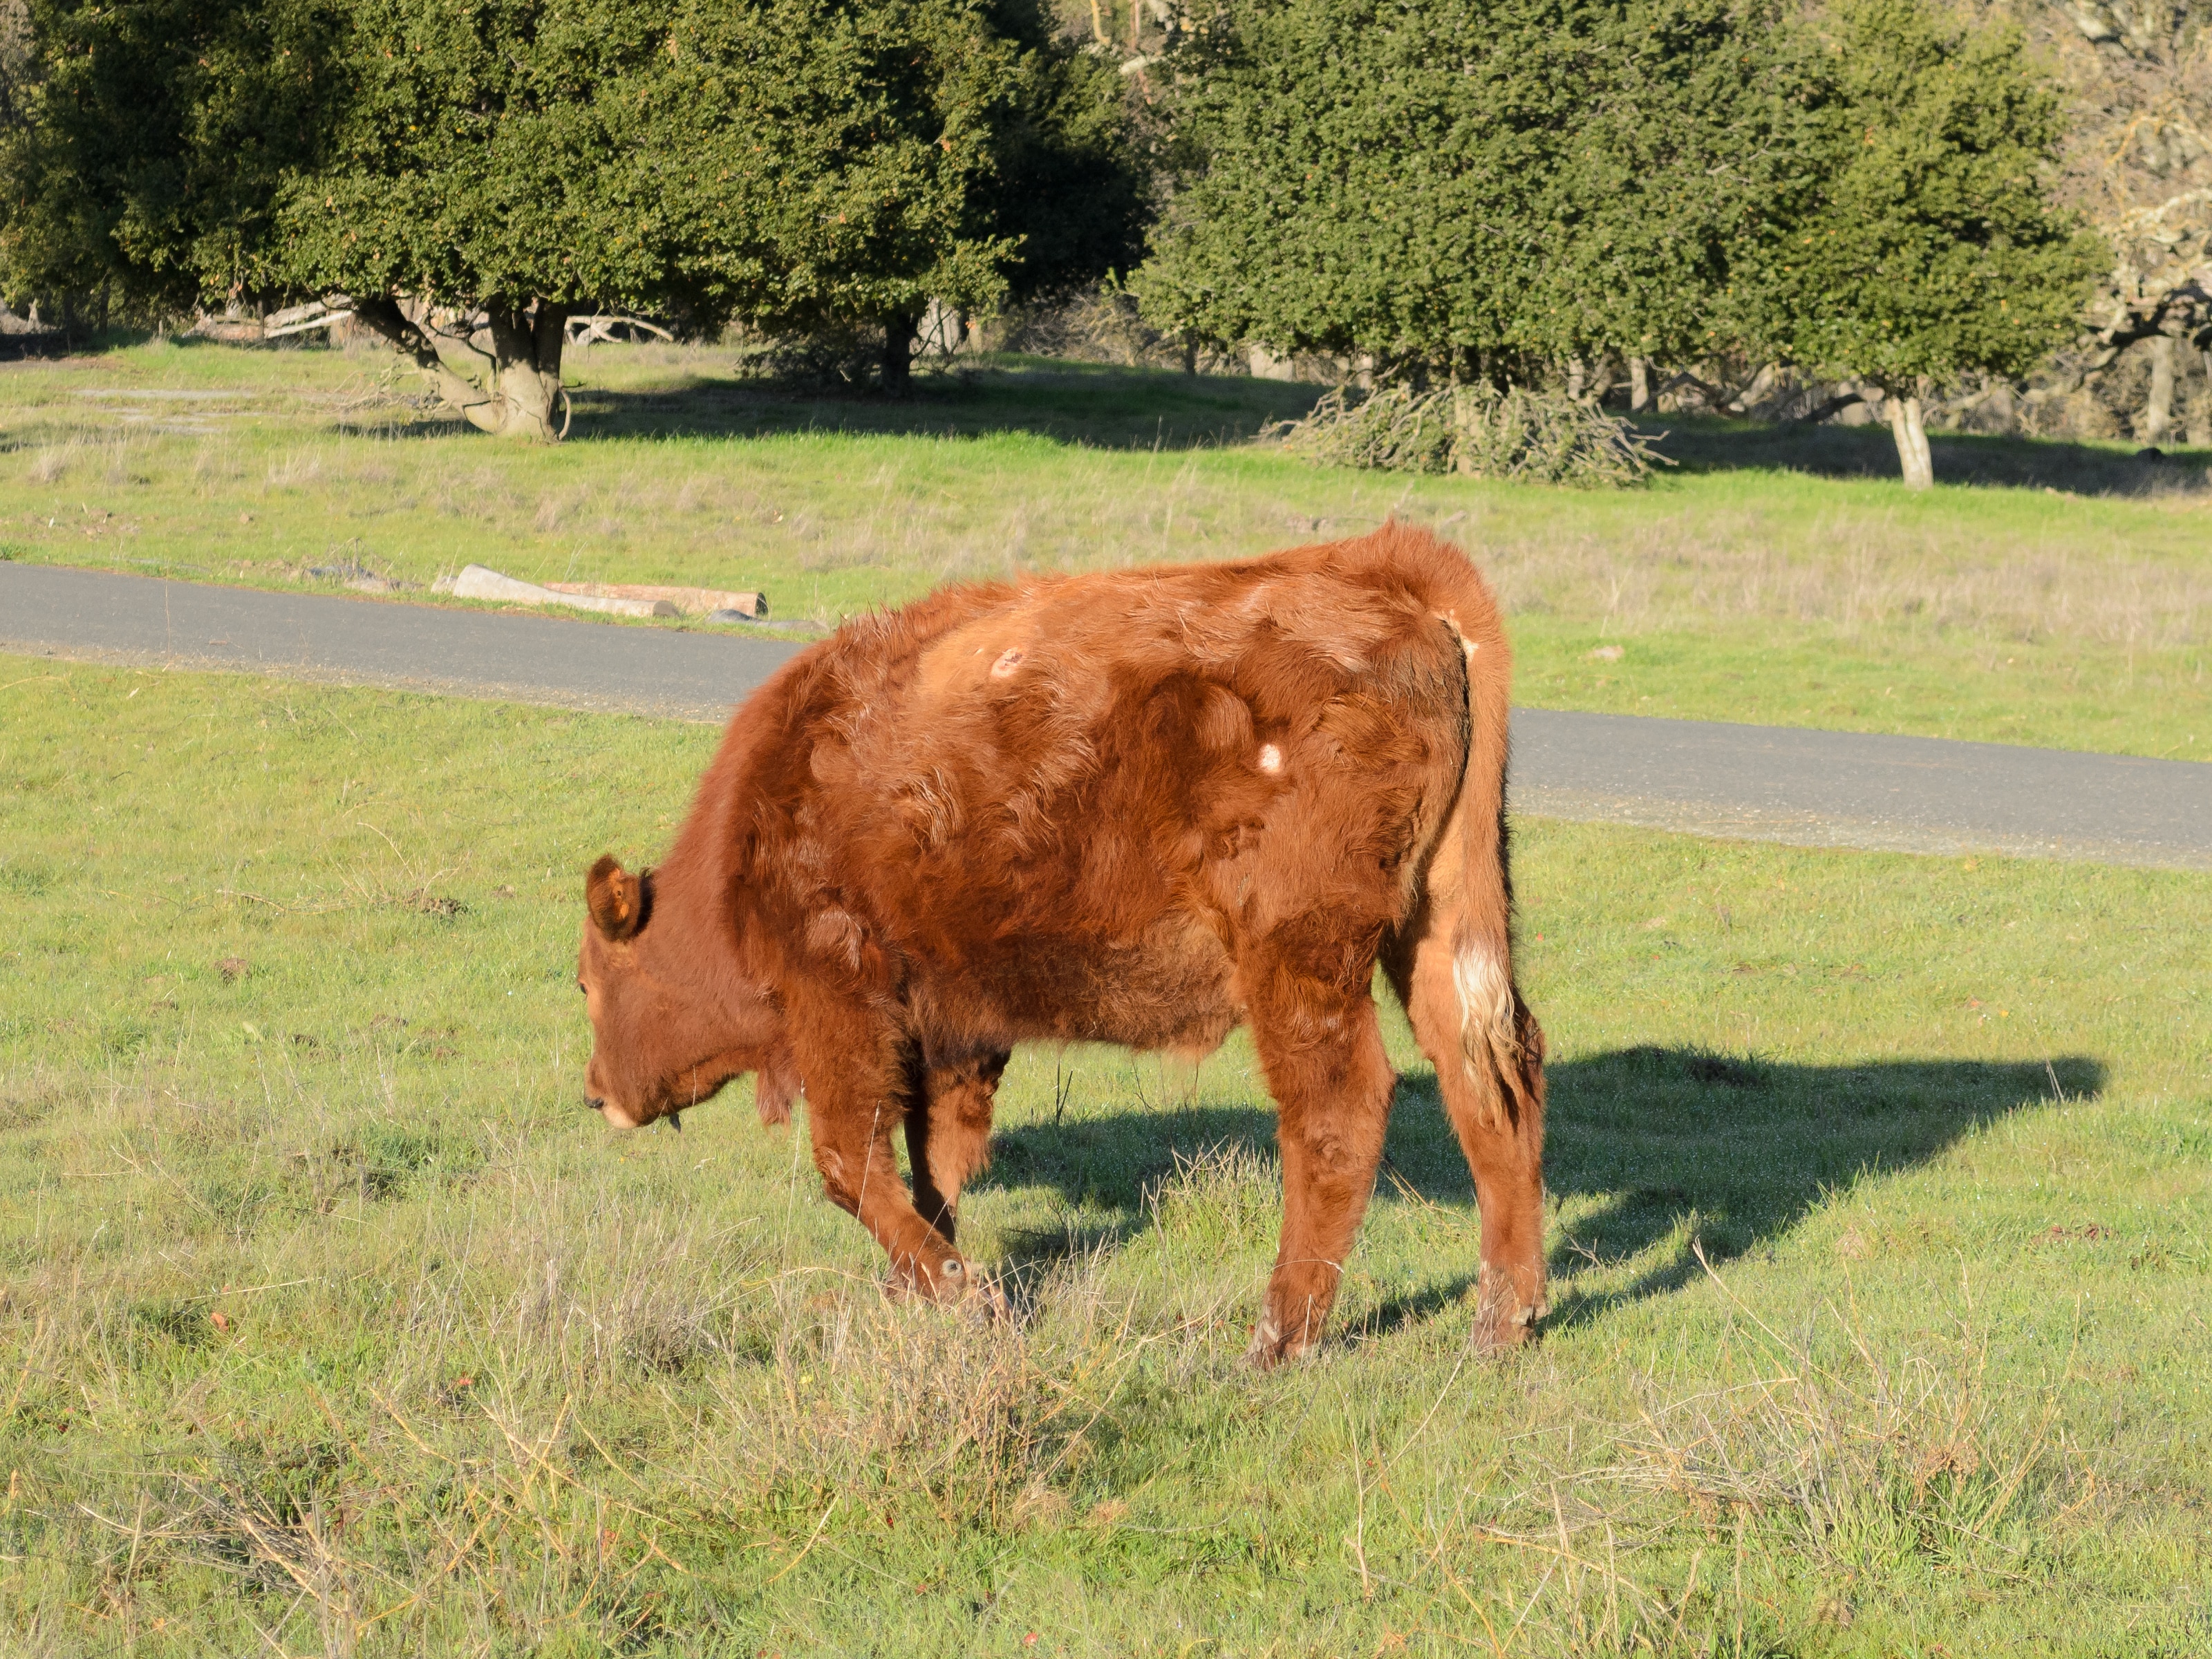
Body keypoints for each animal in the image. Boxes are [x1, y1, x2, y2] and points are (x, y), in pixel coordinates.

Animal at [576, 524, 1547, 1362]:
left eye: (587, 982)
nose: (595, 1096)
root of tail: (1377, 569)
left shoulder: (839, 1000)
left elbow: (851, 1164)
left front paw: (962, 1299)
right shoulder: (948, 1024)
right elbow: (935, 1162)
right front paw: (925, 1287)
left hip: (1298, 959)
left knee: (1338, 1113)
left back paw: (1276, 1342)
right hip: (1438, 922)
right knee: (1491, 1077)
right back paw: (1502, 1324)